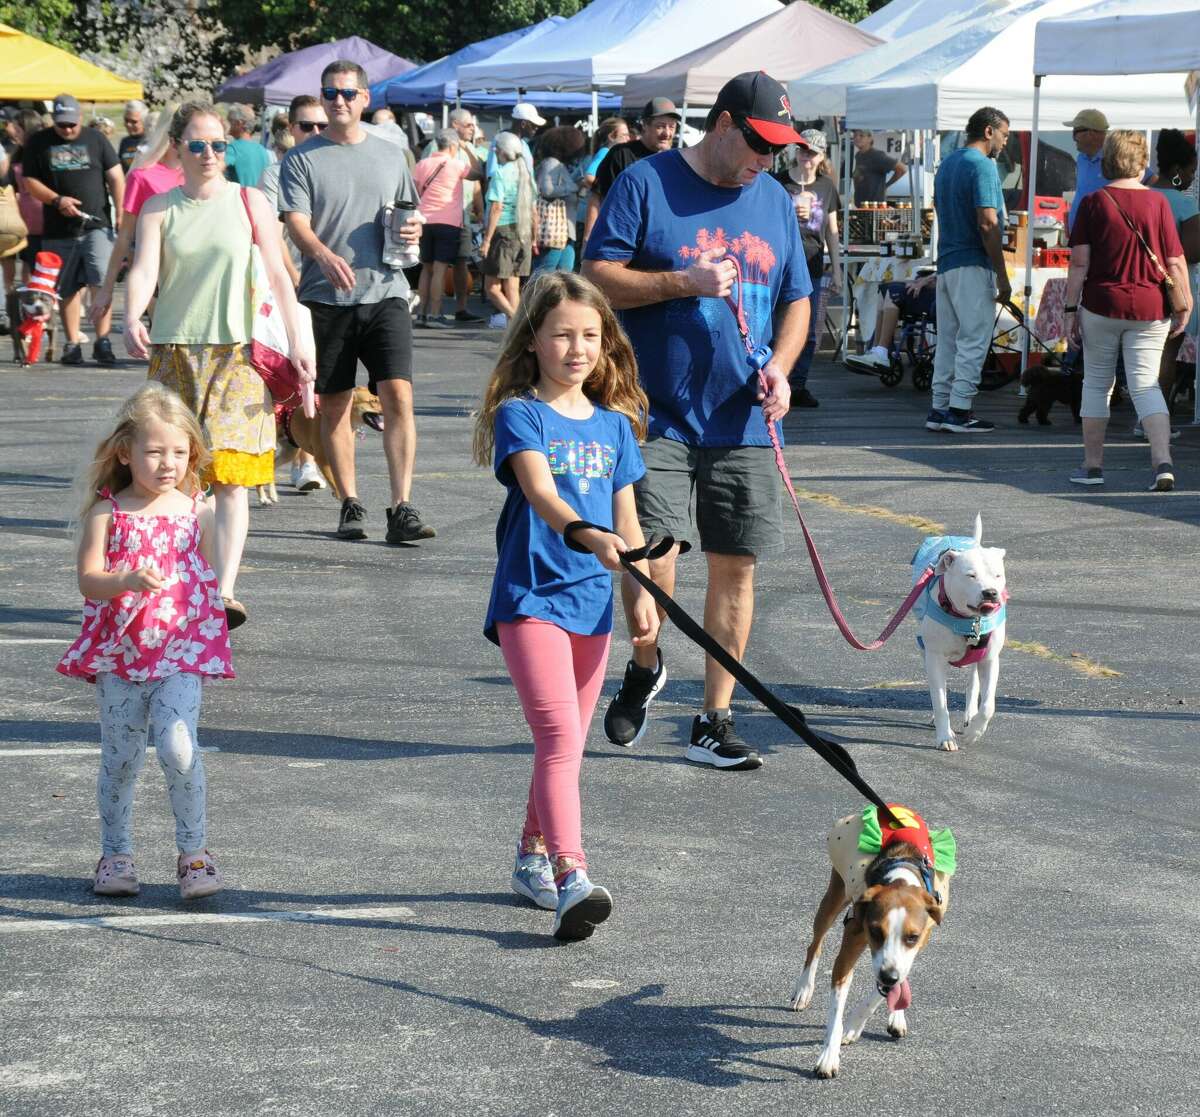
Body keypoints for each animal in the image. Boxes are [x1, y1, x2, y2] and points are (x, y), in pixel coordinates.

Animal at [792, 806, 950, 1079]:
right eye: (875, 931)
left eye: (912, 936)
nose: (888, 976)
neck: (900, 875)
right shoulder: (846, 955)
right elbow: (836, 1014)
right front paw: (829, 1057)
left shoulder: (913, 949)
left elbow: (882, 992)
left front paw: (855, 1025)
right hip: (835, 897)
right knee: (815, 944)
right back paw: (804, 989)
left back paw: (897, 1015)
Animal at [912, 515, 1008, 753]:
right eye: (970, 575)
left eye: (997, 575)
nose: (990, 592)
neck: (969, 620)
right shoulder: (935, 658)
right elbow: (940, 701)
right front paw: (945, 736)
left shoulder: (990, 659)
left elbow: (989, 705)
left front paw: (975, 731)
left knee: (973, 681)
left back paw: (970, 716)